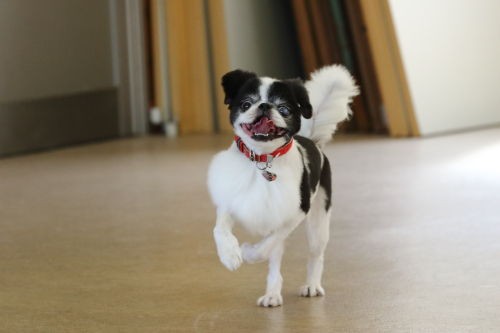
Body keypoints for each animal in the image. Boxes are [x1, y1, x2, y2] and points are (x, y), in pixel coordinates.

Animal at [208, 64, 360, 306]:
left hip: (318, 224)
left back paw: (312, 285)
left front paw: (247, 252)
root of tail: (313, 141)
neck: (261, 159)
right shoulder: (231, 200)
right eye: (246, 104)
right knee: (275, 267)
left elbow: (265, 246)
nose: (264, 106)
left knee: (315, 255)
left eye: (284, 109)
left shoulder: (294, 213)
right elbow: (220, 229)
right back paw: (272, 295)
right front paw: (229, 255)